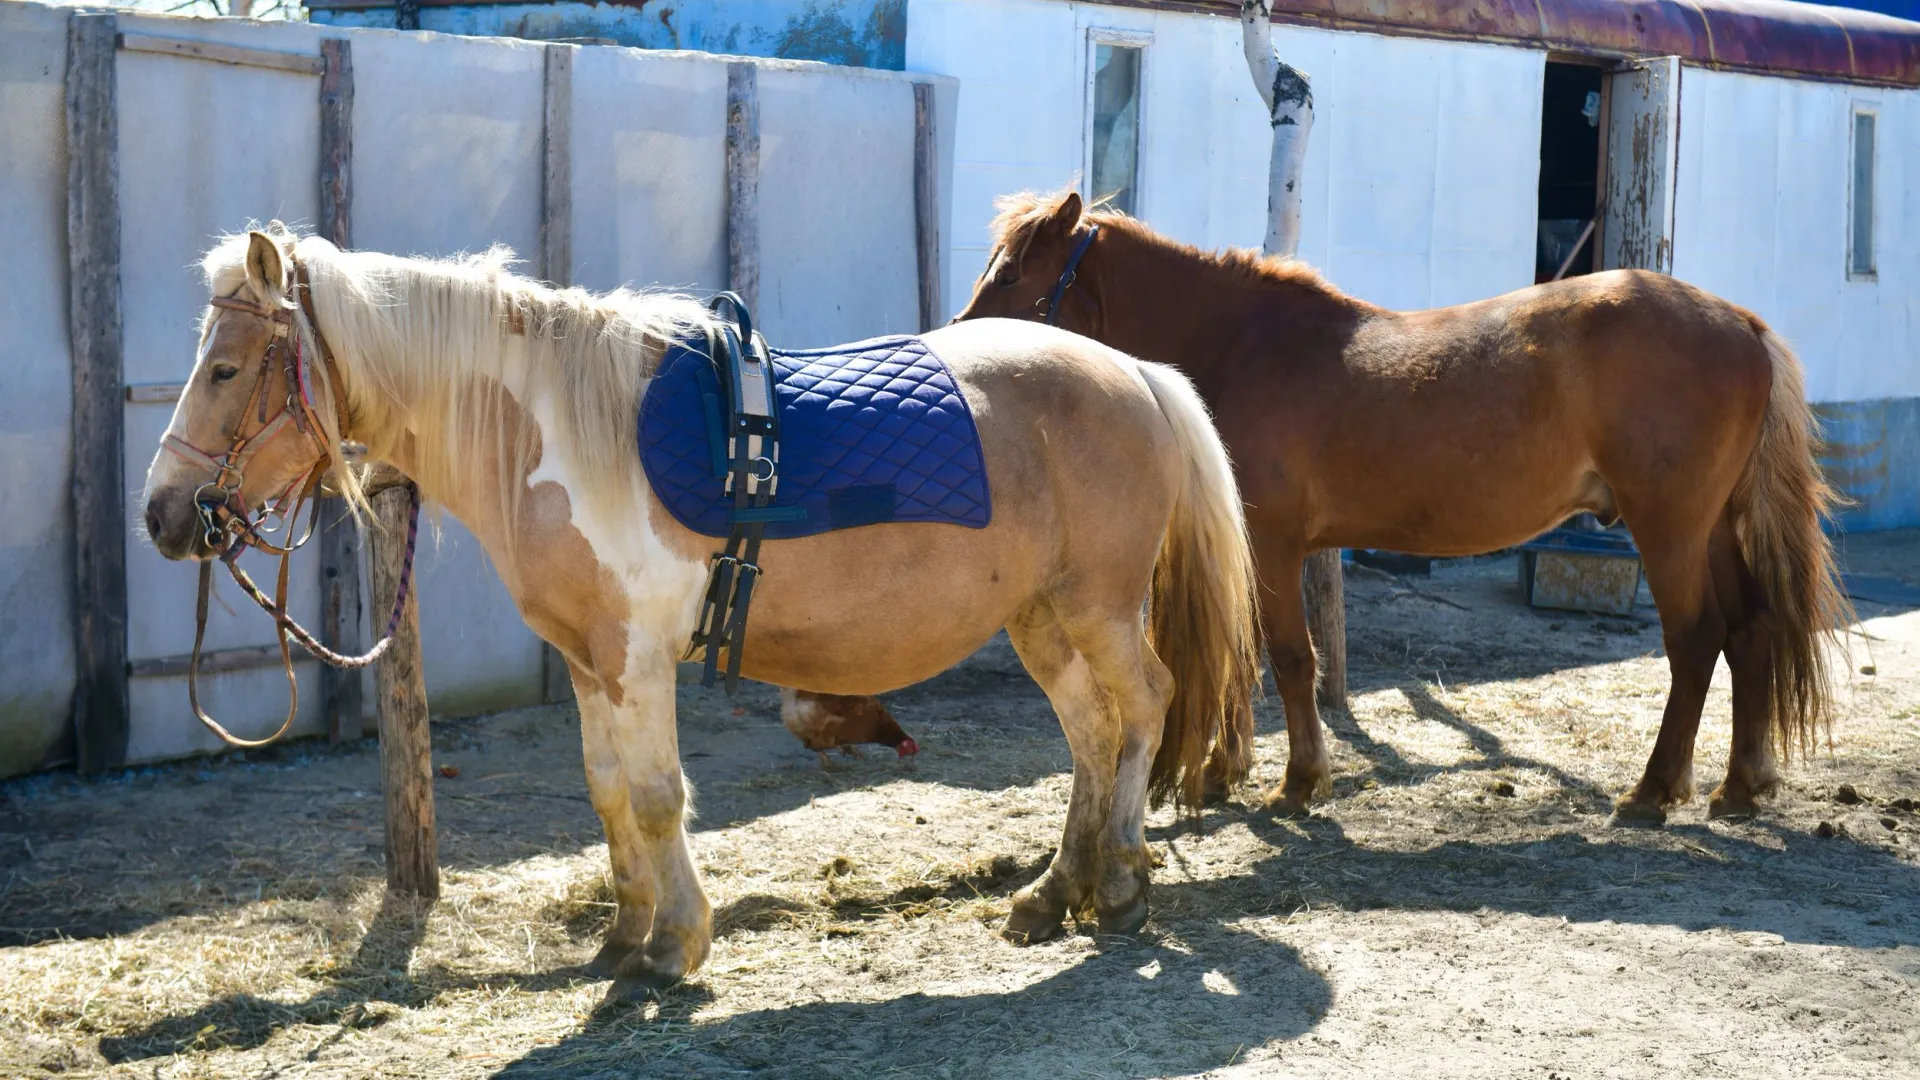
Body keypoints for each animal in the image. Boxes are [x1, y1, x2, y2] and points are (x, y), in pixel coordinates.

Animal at [142, 226, 1267, 983]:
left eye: (227, 368)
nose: (164, 515)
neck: (557, 431)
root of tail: (1138, 373)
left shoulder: (638, 655)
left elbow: (653, 796)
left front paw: (677, 943)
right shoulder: (591, 663)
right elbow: (606, 791)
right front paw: (623, 936)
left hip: (1100, 608)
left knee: (1144, 707)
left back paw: (1119, 886)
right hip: (1042, 617)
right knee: (1090, 729)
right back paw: (1052, 892)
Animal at [806, 189, 1843, 818]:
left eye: (1014, 276)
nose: (949, 347)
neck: (1241, 343)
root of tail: (1742, 324)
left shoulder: (1272, 545)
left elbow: (1291, 660)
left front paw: (1297, 780)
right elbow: (1259, 658)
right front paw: (1226, 771)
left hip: (1670, 529)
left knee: (1697, 641)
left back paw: (1657, 789)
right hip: (1710, 530)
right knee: (1750, 631)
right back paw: (1740, 785)